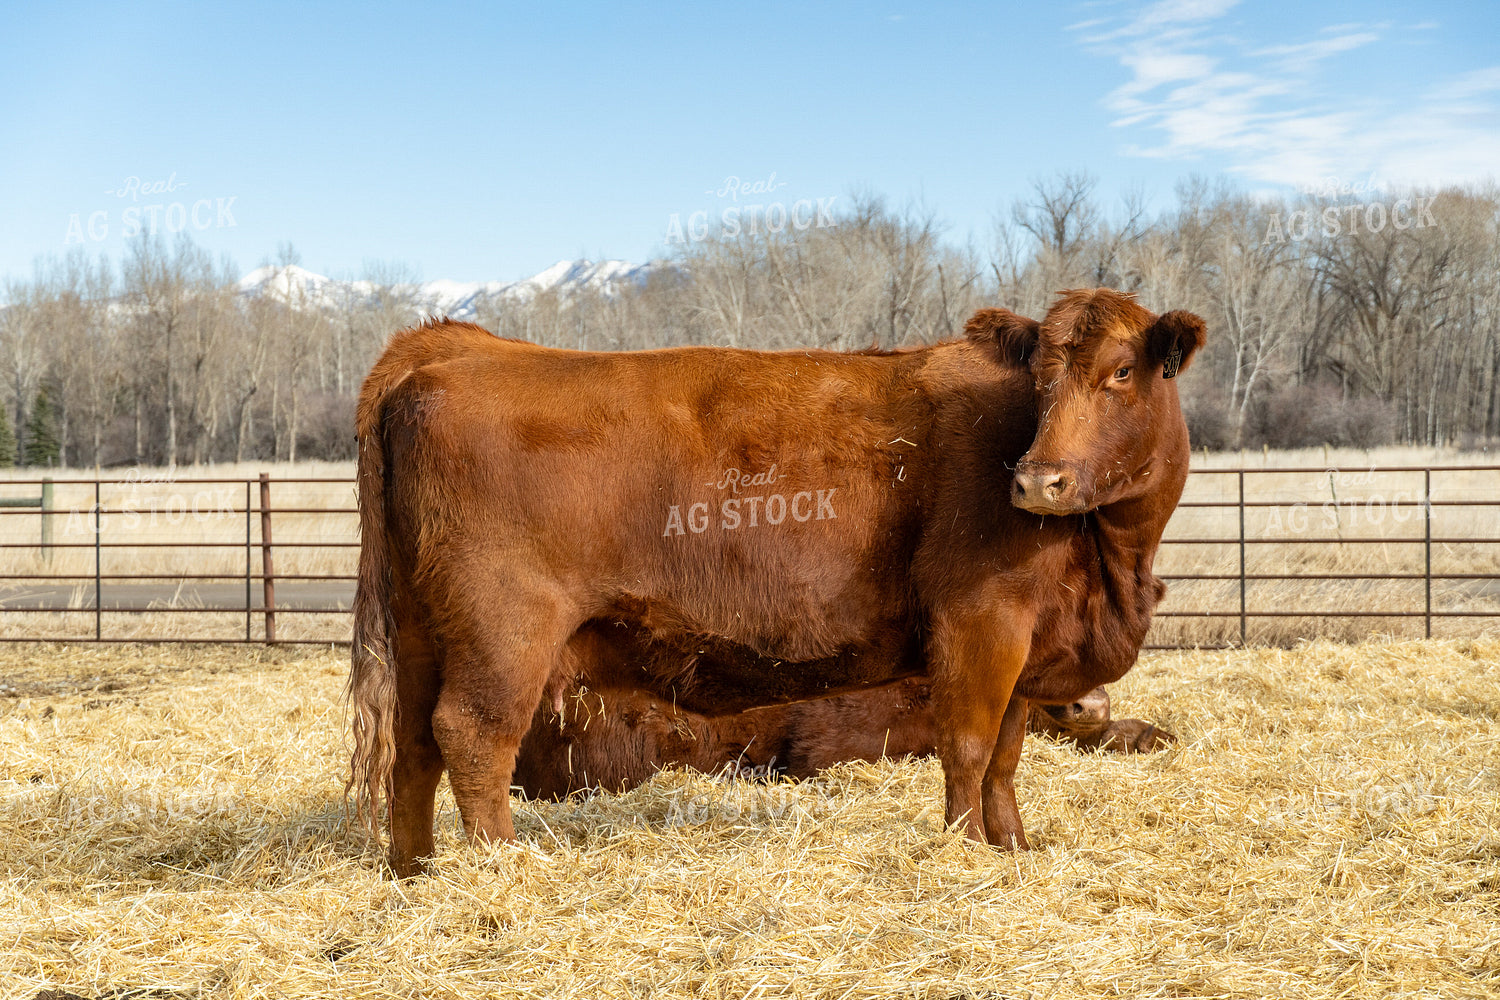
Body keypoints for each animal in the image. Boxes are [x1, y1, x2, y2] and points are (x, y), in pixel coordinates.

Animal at [347, 287, 1205, 877]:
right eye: (1042, 382)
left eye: (1122, 372)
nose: (1037, 481)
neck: (1110, 564)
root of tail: (453, 346)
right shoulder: (979, 623)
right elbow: (968, 748)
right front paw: (965, 854)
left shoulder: (1028, 642)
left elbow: (1006, 756)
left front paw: (1013, 848)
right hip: (505, 634)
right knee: (472, 735)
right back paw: (504, 870)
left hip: (423, 628)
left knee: (415, 740)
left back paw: (414, 871)